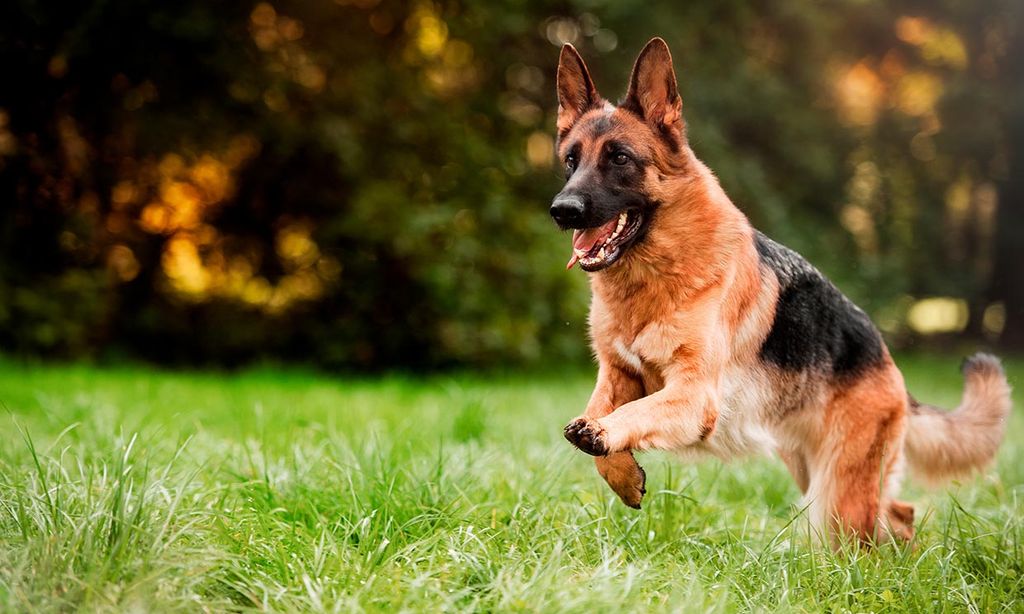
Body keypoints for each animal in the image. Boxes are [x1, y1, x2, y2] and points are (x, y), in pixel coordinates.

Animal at [552, 40, 1007, 544]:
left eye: (619, 158)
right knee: (899, 511)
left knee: (870, 529)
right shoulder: (617, 375)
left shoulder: (693, 396)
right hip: (814, 470)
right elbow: (597, 416)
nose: (562, 210)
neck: (654, 278)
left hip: (837, 493)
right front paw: (622, 473)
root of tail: (888, 361)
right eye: (571, 160)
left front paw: (605, 437)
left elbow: (629, 416)